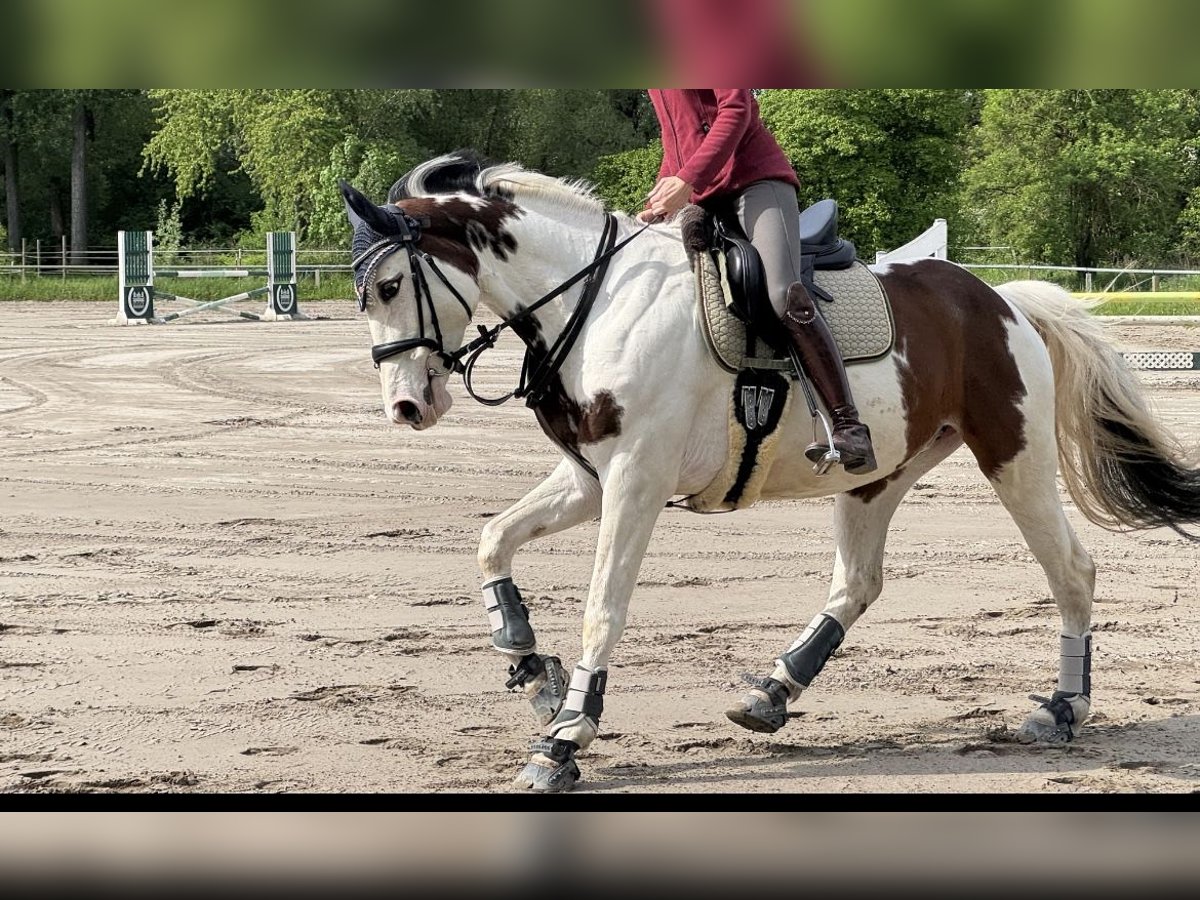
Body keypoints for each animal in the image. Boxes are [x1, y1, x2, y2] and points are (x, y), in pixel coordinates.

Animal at [339, 151, 1200, 792]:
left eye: (390, 285)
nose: (408, 406)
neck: (598, 302)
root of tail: (1002, 301)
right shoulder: (589, 477)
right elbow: (493, 540)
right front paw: (531, 668)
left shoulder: (636, 481)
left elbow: (602, 609)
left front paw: (565, 738)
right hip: (878, 473)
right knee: (857, 582)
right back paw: (772, 691)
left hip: (1011, 452)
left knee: (1072, 570)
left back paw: (1062, 708)